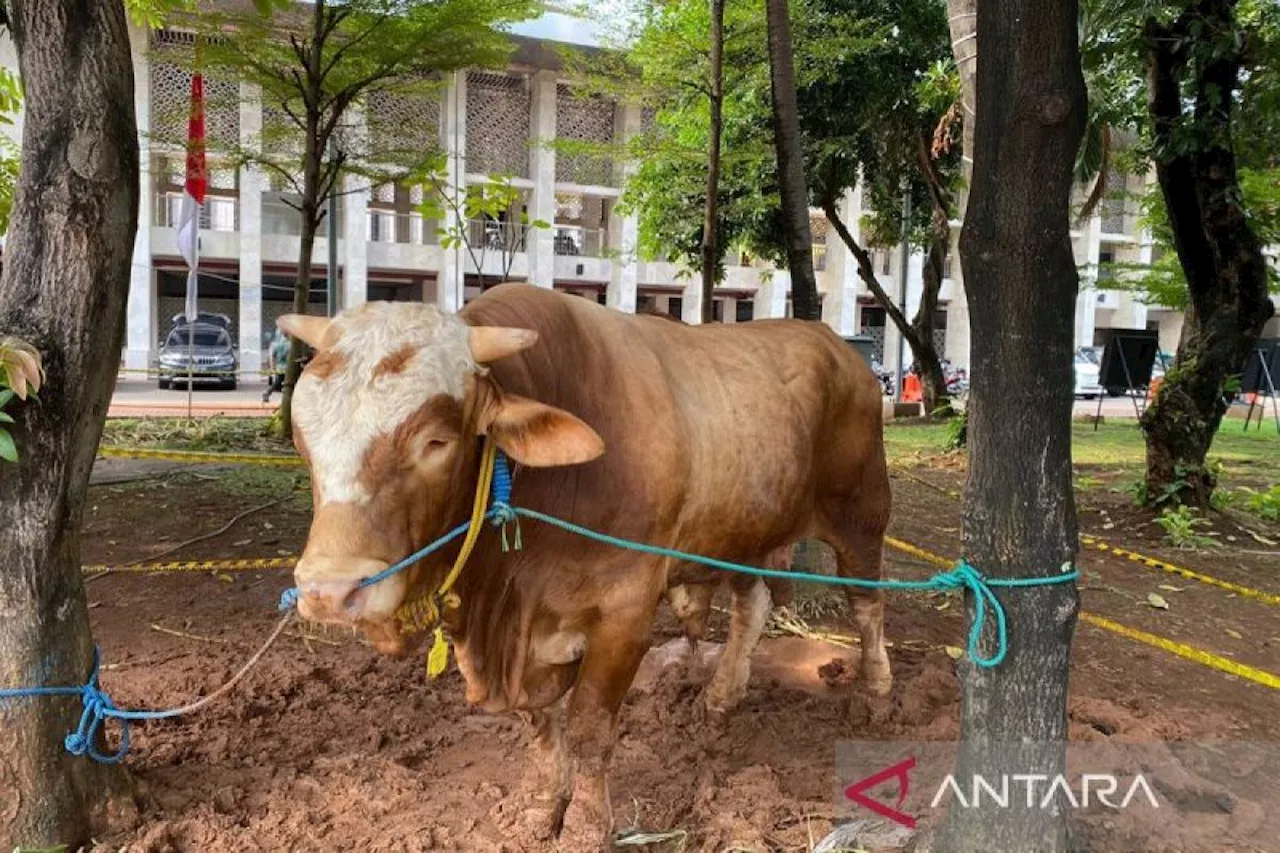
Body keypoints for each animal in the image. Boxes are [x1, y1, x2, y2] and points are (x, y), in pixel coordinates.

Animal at [280, 281, 890, 845]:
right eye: (303, 440)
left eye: (435, 442)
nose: (330, 590)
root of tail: (830, 341)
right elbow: (540, 722)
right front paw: (544, 806)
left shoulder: (624, 615)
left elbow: (590, 727)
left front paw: (587, 827)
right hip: (747, 529)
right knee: (752, 604)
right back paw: (721, 697)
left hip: (860, 511)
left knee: (866, 604)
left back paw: (877, 694)